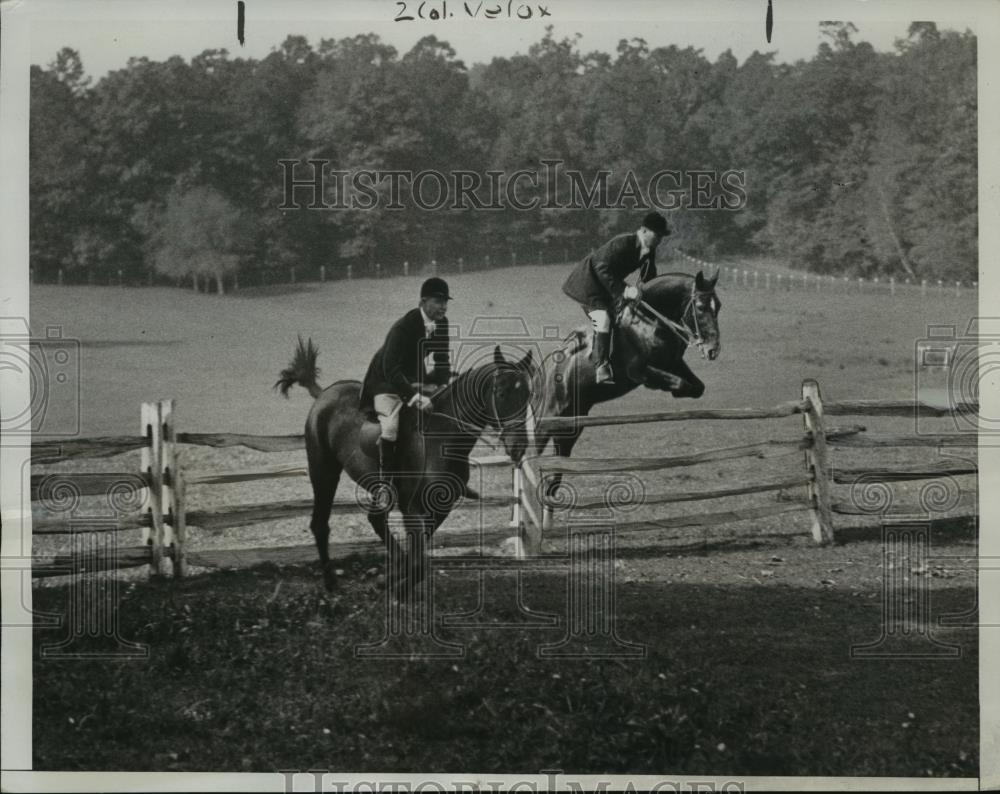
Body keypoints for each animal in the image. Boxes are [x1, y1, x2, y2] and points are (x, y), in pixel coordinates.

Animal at [274, 340, 540, 592]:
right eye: (501, 393)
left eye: (528, 395)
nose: (518, 446)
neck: (442, 438)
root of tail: (325, 393)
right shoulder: (412, 507)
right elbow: (419, 564)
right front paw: (396, 586)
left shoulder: (440, 508)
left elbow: (416, 557)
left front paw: (389, 578)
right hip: (324, 472)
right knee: (320, 523)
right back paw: (330, 582)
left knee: (375, 519)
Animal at [532, 270, 720, 476]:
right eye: (700, 307)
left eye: (718, 306)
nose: (713, 350)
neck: (651, 321)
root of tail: (546, 367)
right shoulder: (637, 371)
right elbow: (679, 382)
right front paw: (670, 389)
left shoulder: (673, 362)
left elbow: (697, 387)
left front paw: (679, 392)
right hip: (551, 414)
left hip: (573, 419)